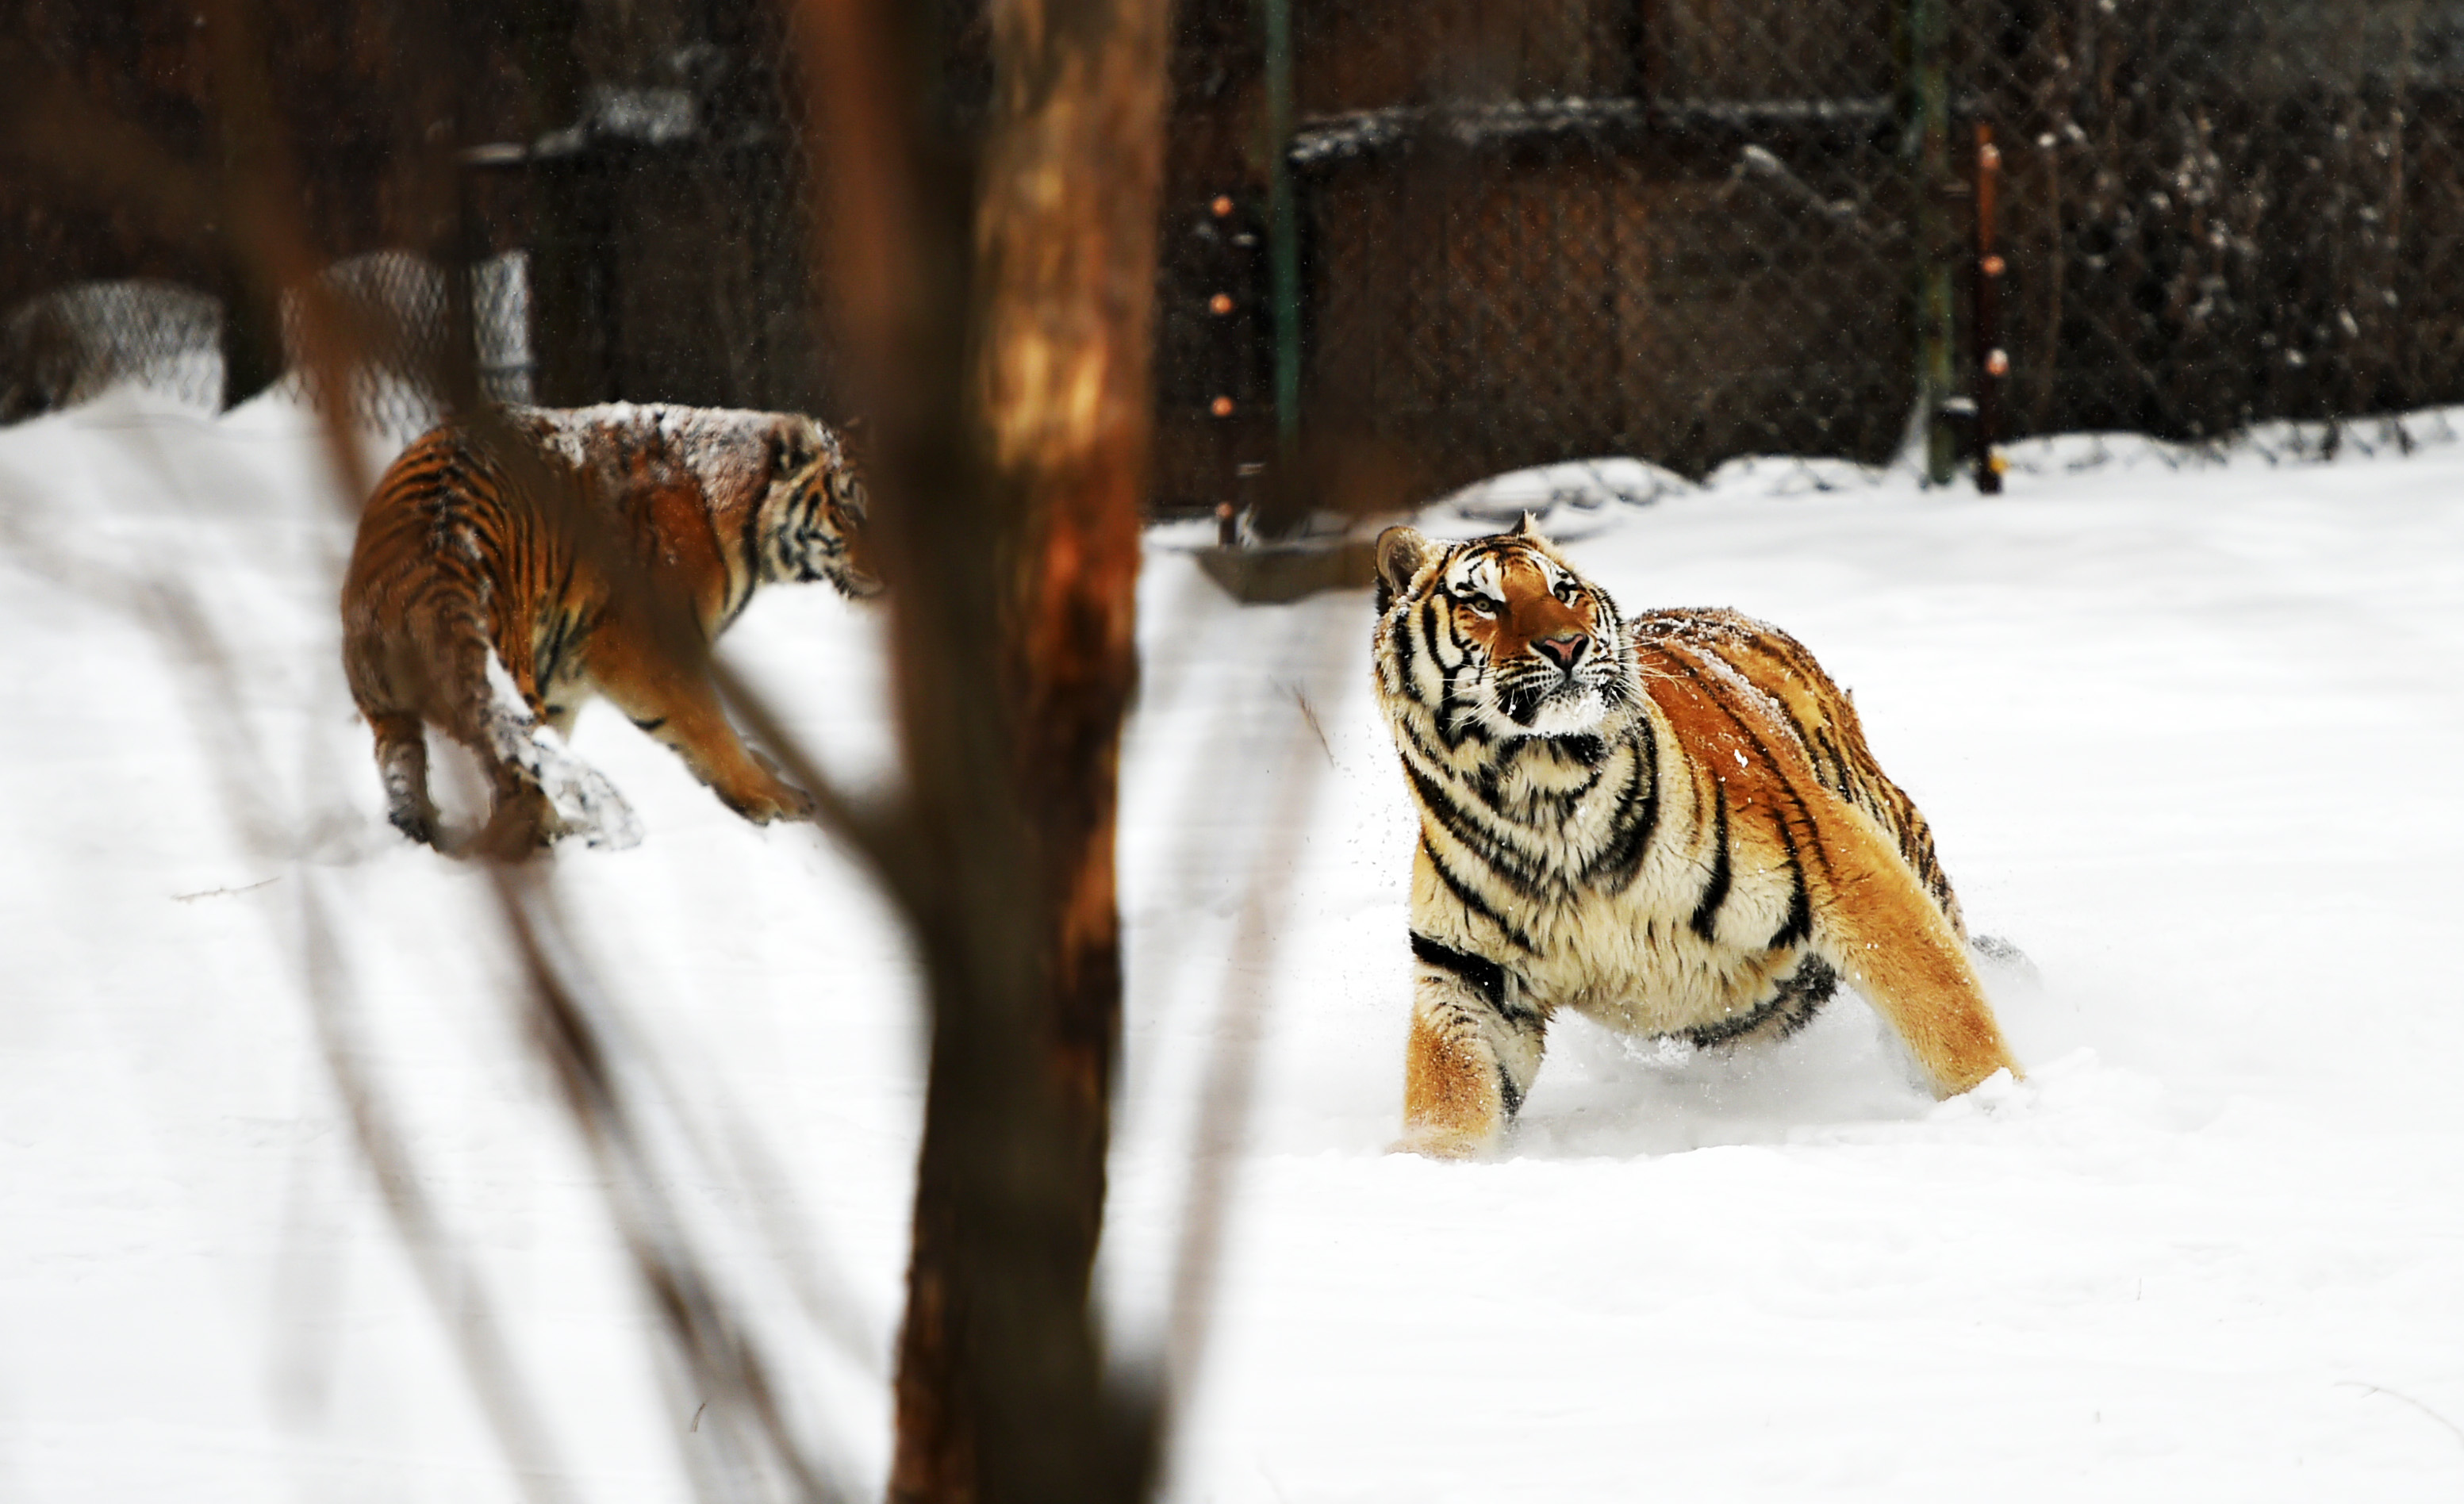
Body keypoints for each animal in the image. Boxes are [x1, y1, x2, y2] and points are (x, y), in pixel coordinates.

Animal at [342, 401, 881, 853]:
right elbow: (708, 728)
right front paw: (775, 797)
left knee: (406, 774)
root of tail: (429, 561)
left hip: (391, 711)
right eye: (851, 506)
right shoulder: (649, 649)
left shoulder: (563, 676)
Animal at [1369, 510, 2020, 1153]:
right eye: (1483, 602)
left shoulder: (1841, 868)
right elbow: (1450, 1088)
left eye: (1563, 592)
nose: (1567, 644)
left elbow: (1943, 1008)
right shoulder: (1468, 973)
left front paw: (1999, 1102)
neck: (1541, 797)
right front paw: (1429, 1162)